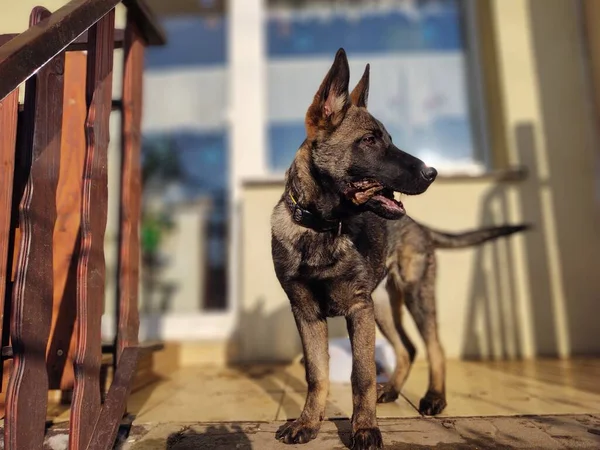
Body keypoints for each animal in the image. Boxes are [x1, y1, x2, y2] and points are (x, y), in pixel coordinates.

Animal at [270, 47, 528, 448]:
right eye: (370, 140)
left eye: (389, 139)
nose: (433, 173)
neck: (321, 226)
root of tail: (419, 225)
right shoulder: (307, 312)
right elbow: (316, 373)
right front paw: (308, 422)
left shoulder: (357, 309)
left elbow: (360, 375)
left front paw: (364, 428)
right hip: (382, 308)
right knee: (407, 348)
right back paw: (391, 389)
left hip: (414, 293)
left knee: (435, 347)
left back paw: (434, 397)